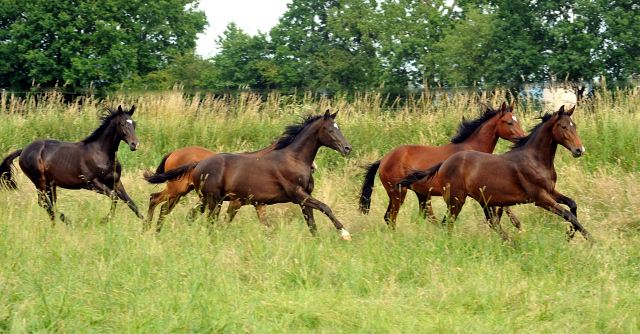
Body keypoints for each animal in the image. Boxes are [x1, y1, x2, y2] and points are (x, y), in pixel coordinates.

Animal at [0, 104, 142, 224]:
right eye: (122, 124)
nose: (135, 144)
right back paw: (67, 222)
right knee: (44, 202)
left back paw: (55, 225)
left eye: (134, 124)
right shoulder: (92, 183)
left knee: (50, 203)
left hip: (50, 183)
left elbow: (131, 203)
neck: (101, 154)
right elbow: (114, 196)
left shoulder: (116, 182)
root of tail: (24, 150)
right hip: (39, 180)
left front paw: (145, 226)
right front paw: (104, 220)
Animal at [144, 145, 316, 234]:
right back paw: (147, 229)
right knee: (155, 199)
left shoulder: (258, 204)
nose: (313, 167)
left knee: (164, 208)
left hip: (180, 193)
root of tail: (173, 153)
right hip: (176, 190)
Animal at [360, 102, 524, 228]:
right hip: (399, 192)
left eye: (518, 121)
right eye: (509, 122)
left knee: (424, 217)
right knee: (391, 217)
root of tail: (383, 159)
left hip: (422, 194)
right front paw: (516, 224)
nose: (523, 138)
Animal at [398, 105, 592, 241]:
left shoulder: (551, 192)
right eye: (564, 127)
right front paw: (590, 240)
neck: (535, 159)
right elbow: (568, 214)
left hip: (481, 199)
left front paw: (570, 235)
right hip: (456, 199)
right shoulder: (540, 197)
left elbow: (572, 205)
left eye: (574, 126)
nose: (579, 150)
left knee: (488, 222)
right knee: (449, 223)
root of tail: (444, 163)